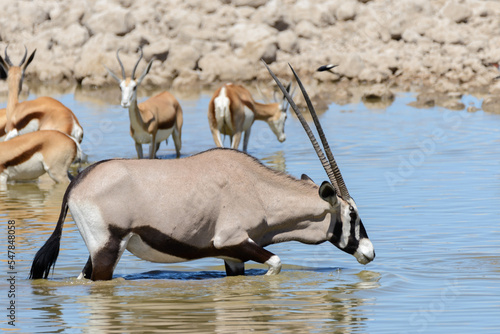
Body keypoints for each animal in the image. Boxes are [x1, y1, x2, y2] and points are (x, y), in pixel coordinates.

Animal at [29, 63, 374, 282]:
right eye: (352, 215)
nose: (369, 252)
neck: (259, 190)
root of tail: (77, 183)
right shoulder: (232, 241)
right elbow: (276, 263)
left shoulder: (233, 257)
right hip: (106, 250)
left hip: (97, 250)